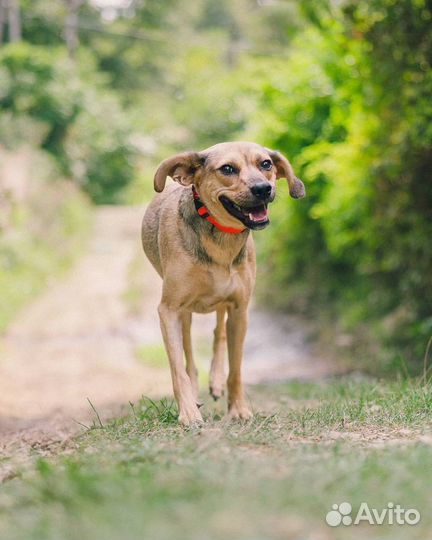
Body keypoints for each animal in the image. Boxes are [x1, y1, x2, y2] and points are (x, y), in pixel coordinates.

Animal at [142, 142, 304, 426]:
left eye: (266, 164)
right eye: (227, 169)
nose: (263, 189)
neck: (221, 239)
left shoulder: (239, 309)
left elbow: (236, 369)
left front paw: (238, 409)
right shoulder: (169, 309)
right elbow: (178, 368)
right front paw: (188, 411)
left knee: (219, 331)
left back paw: (216, 381)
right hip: (184, 312)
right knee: (189, 353)